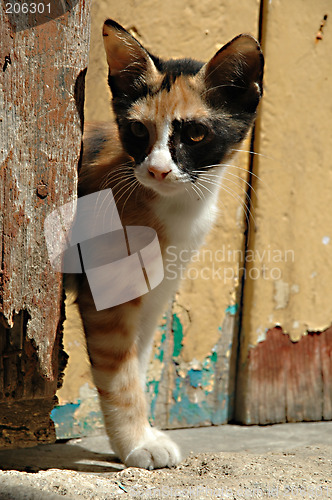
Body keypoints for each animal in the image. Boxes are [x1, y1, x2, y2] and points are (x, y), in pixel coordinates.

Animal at [76, 19, 264, 470]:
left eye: (195, 133)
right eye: (137, 130)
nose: (158, 170)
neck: (177, 210)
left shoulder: (154, 296)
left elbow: (139, 363)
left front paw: (137, 438)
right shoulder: (108, 303)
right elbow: (121, 376)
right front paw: (137, 444)